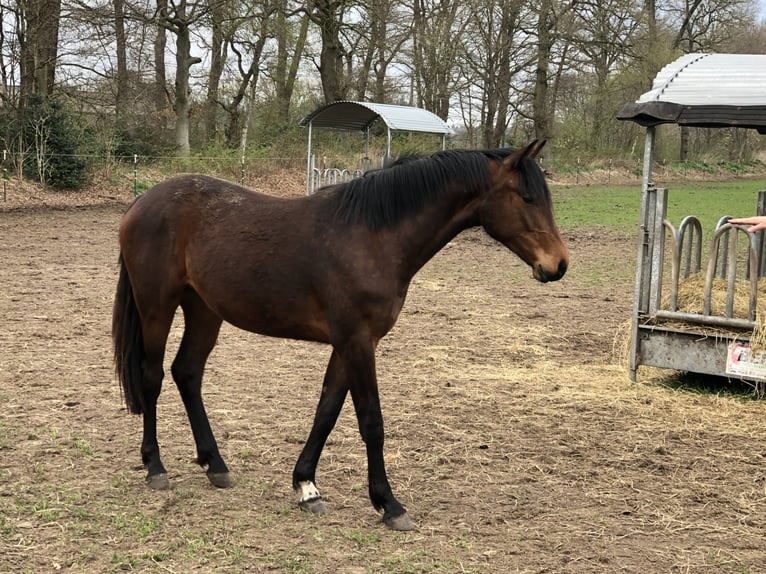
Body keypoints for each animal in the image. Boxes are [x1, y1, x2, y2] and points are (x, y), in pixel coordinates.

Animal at [112, 140, 569, 531]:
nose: (558, 264)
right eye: (527, 198)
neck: (373, 236)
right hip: (157, 307)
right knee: (153, 377)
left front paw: (306, 487)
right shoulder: (357, 341)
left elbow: (327, 411)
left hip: (204, 311)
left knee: (187, 373)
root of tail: (142, 201)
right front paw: (389, 504)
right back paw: (156, 467)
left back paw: (216, 465)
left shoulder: (351, 343)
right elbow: (371, 421)